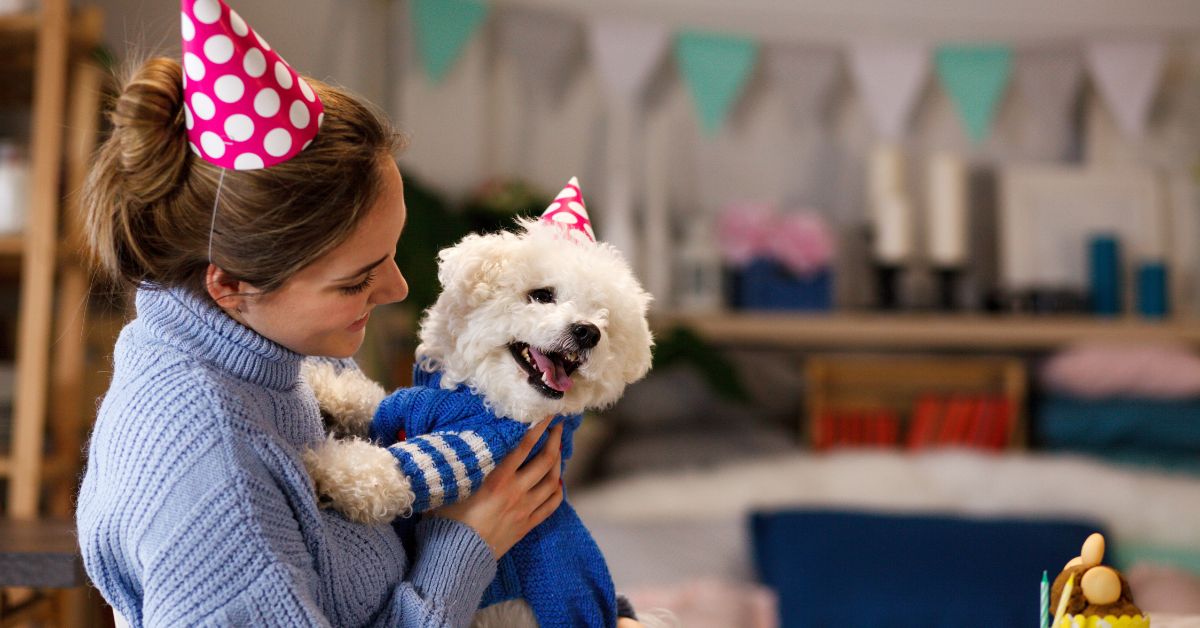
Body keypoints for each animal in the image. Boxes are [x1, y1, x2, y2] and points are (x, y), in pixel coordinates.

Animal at [300, 189, 657, 624]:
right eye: (542, 295)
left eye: (604, 318)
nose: (588, 332)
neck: (473, 393)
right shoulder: (404, 406)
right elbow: (376, 399)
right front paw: (324, 386)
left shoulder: (483, 441)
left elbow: (400, 468)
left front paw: (324, 466)